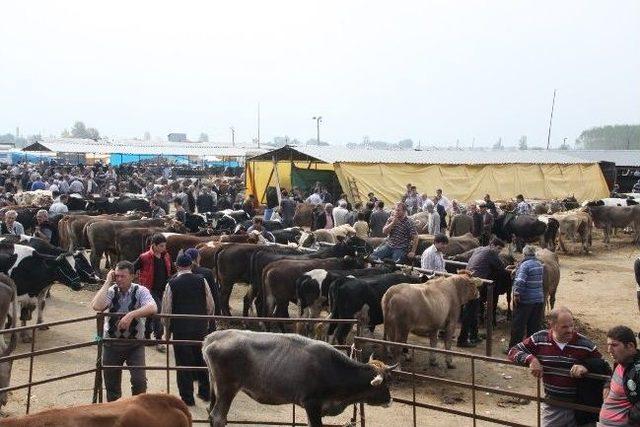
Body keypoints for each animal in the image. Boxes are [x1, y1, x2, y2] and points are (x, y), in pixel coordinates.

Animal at [202, 332, 398, 427]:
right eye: (386, 382)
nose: (390, 400)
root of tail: (213, 337)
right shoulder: (312, 403)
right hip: (227, 388)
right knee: (218, 417)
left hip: (216, 387)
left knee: (211, 412)